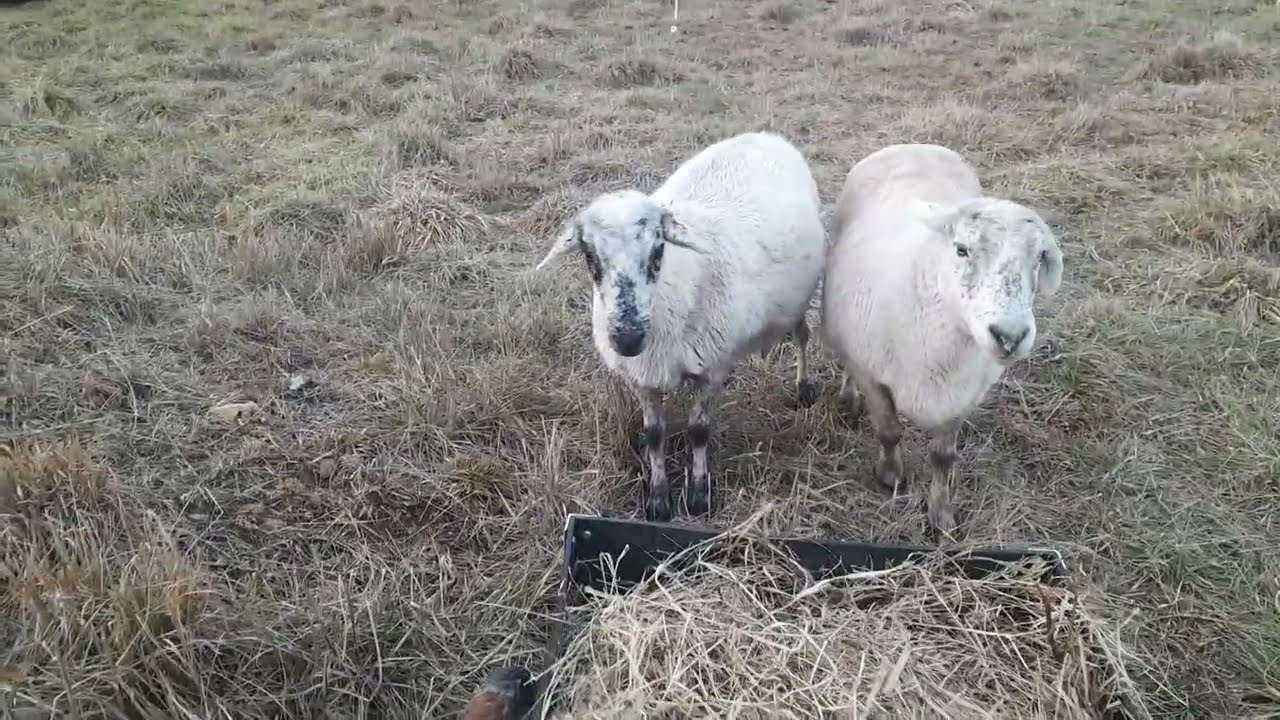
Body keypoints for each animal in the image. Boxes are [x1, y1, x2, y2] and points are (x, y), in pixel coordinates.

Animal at [535, 131, 826, 522]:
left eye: (659, 251)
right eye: (589, 256)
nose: (627, 339)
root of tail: (765, 134)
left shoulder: (712, 368)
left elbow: (698, 430)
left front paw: (699, 496)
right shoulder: (642, 377)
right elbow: (653, 435)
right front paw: (658, 500)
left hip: (800, 297)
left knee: (802, 337)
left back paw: (803, 386)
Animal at [820, 143, 1064, 535]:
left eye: (1040, 258)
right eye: (961, 249)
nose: (1009, 336)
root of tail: (912, 144)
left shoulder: (962, 395)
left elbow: (943, 457)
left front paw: (941, 514)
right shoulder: (873, 376)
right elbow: (889, 432)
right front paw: (891, 475)